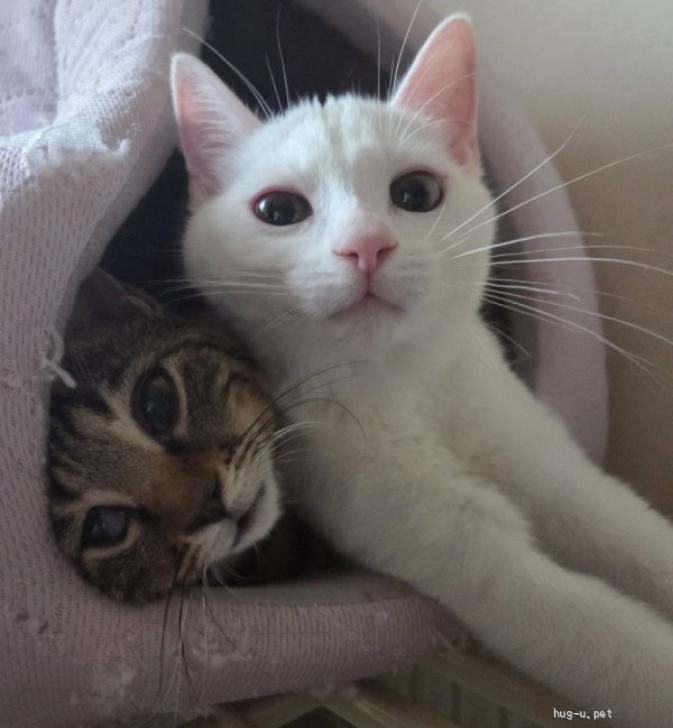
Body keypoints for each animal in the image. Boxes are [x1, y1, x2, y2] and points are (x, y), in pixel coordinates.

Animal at [171, 15, 673, 727]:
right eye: (278, 211)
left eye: (416, 193)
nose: (367, 246)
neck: (406, 384)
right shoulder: (417, 519)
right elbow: (588, 628)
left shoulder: (546, 462)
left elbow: (623, 530)